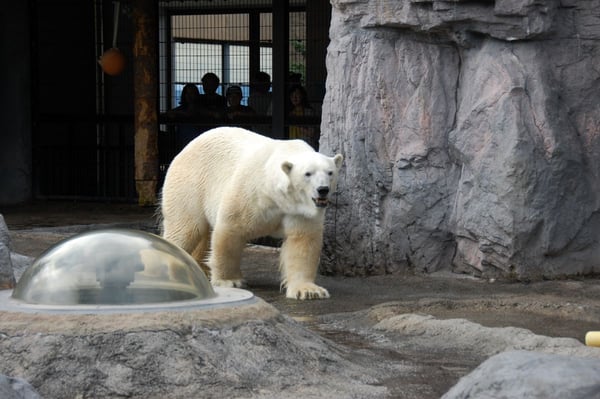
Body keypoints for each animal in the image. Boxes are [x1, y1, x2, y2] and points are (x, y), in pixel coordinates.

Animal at [159, 128, 344, 300]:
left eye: (330, 172)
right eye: (308, 173)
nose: (323, 190)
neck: (275, 195)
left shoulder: (299, 210)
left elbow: (302, 241)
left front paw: (309, 290)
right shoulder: (251, 193)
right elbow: (230, 230)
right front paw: (230, 281)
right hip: (191, 185)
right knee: (185, 229)